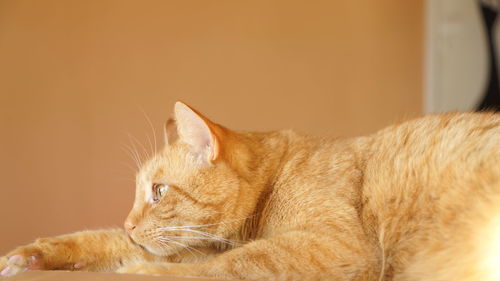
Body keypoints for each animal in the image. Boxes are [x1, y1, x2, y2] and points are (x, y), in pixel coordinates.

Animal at [0, 101, 498, 280]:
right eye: (140, 193)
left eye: (158, 192)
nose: (129, 221)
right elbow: (104, 240)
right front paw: (33, 256)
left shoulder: (337, 245)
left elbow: (233, 264)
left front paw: (143, 273)